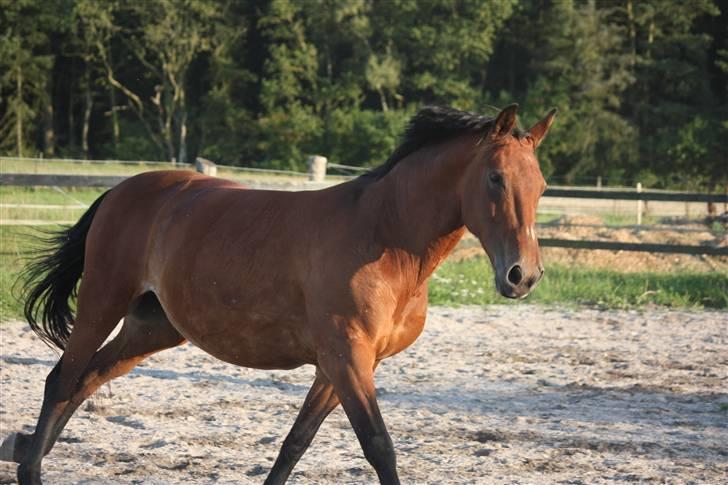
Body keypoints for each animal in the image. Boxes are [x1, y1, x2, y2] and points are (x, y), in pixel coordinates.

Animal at [2, 104, 556, 482]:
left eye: (542, 185)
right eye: (495, 178)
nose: (522, 276)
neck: (385, 239)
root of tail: (122, 190)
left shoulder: (343, 366)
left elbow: (296, 442)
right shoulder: (346, 357)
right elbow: (379, 446)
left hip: (152, 327)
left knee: (87, 380)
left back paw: (28, 448)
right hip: (102, 300)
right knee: (62, 380)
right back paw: (31, 467)